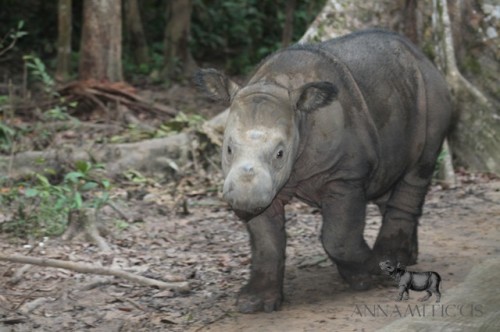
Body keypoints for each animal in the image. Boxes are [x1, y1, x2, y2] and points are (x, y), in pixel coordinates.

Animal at [195, 29, 454, 312]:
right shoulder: (267, 189)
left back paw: (392, 260)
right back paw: (405, 258)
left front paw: (370, 274)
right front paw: (254, 302)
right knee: (388, 178)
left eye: (280, 153)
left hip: (432, 93)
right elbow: (266, 241)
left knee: (418, 170)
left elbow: (337, 236)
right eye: (228, 148)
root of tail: (423, 57)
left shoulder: (345, 174)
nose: (243, 198)